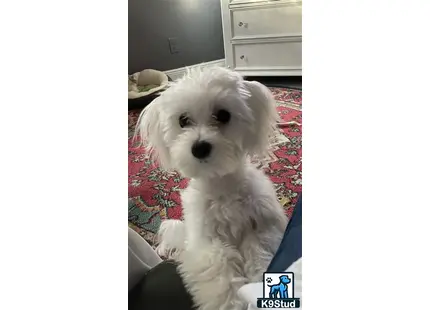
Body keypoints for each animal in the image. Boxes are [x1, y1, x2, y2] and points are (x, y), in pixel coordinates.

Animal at [136, 66, 288, 308]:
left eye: (223, 115)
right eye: (183, 120)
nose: (200, 148)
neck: (222, 186)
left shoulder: (262, 228)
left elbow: (260, 254)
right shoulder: (207, 244)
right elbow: (221, 272)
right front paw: (234, 302)